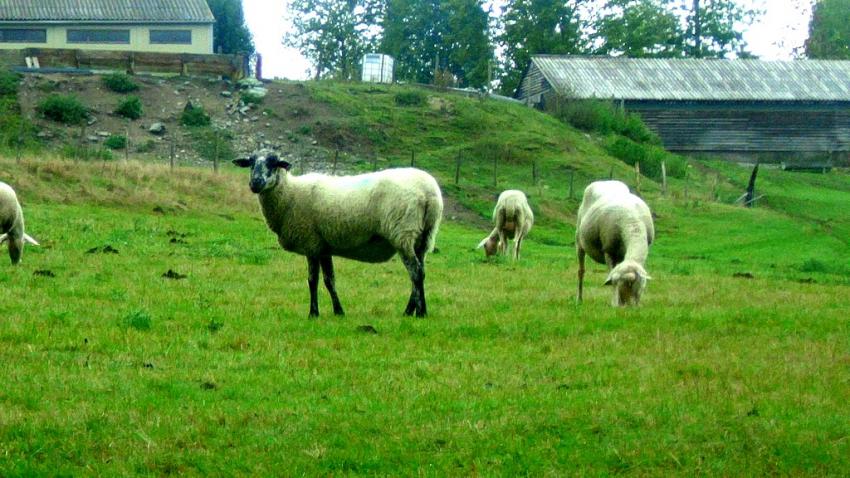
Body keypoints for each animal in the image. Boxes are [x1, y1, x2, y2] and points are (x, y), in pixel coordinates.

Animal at [233, 153, 443, 318]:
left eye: (273, 163)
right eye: (251, 163)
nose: (255, 183)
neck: (290, 194)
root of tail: (429, 192)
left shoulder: (311, 244)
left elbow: (313, 281)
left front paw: (313, 313)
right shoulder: (323, 247)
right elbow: (329, 281)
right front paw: (338, 312)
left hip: (403, 233)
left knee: (415, 272)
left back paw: (420, 312)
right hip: (423, 237)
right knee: (420, 272)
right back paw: (411, 311)